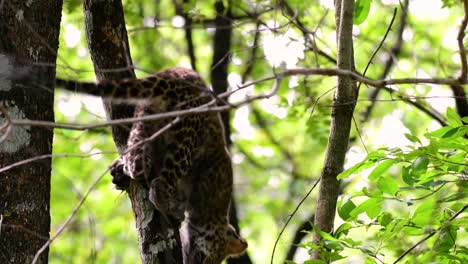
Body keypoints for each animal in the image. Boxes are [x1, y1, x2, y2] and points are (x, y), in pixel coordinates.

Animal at [54, 67, 247, 262]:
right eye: (208, 258)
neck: (213, 215)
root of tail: (172, 74)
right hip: (186, 135)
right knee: (161, 182)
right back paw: (169, 207)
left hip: (144, 118)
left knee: (136, 162)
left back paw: (130, 167)